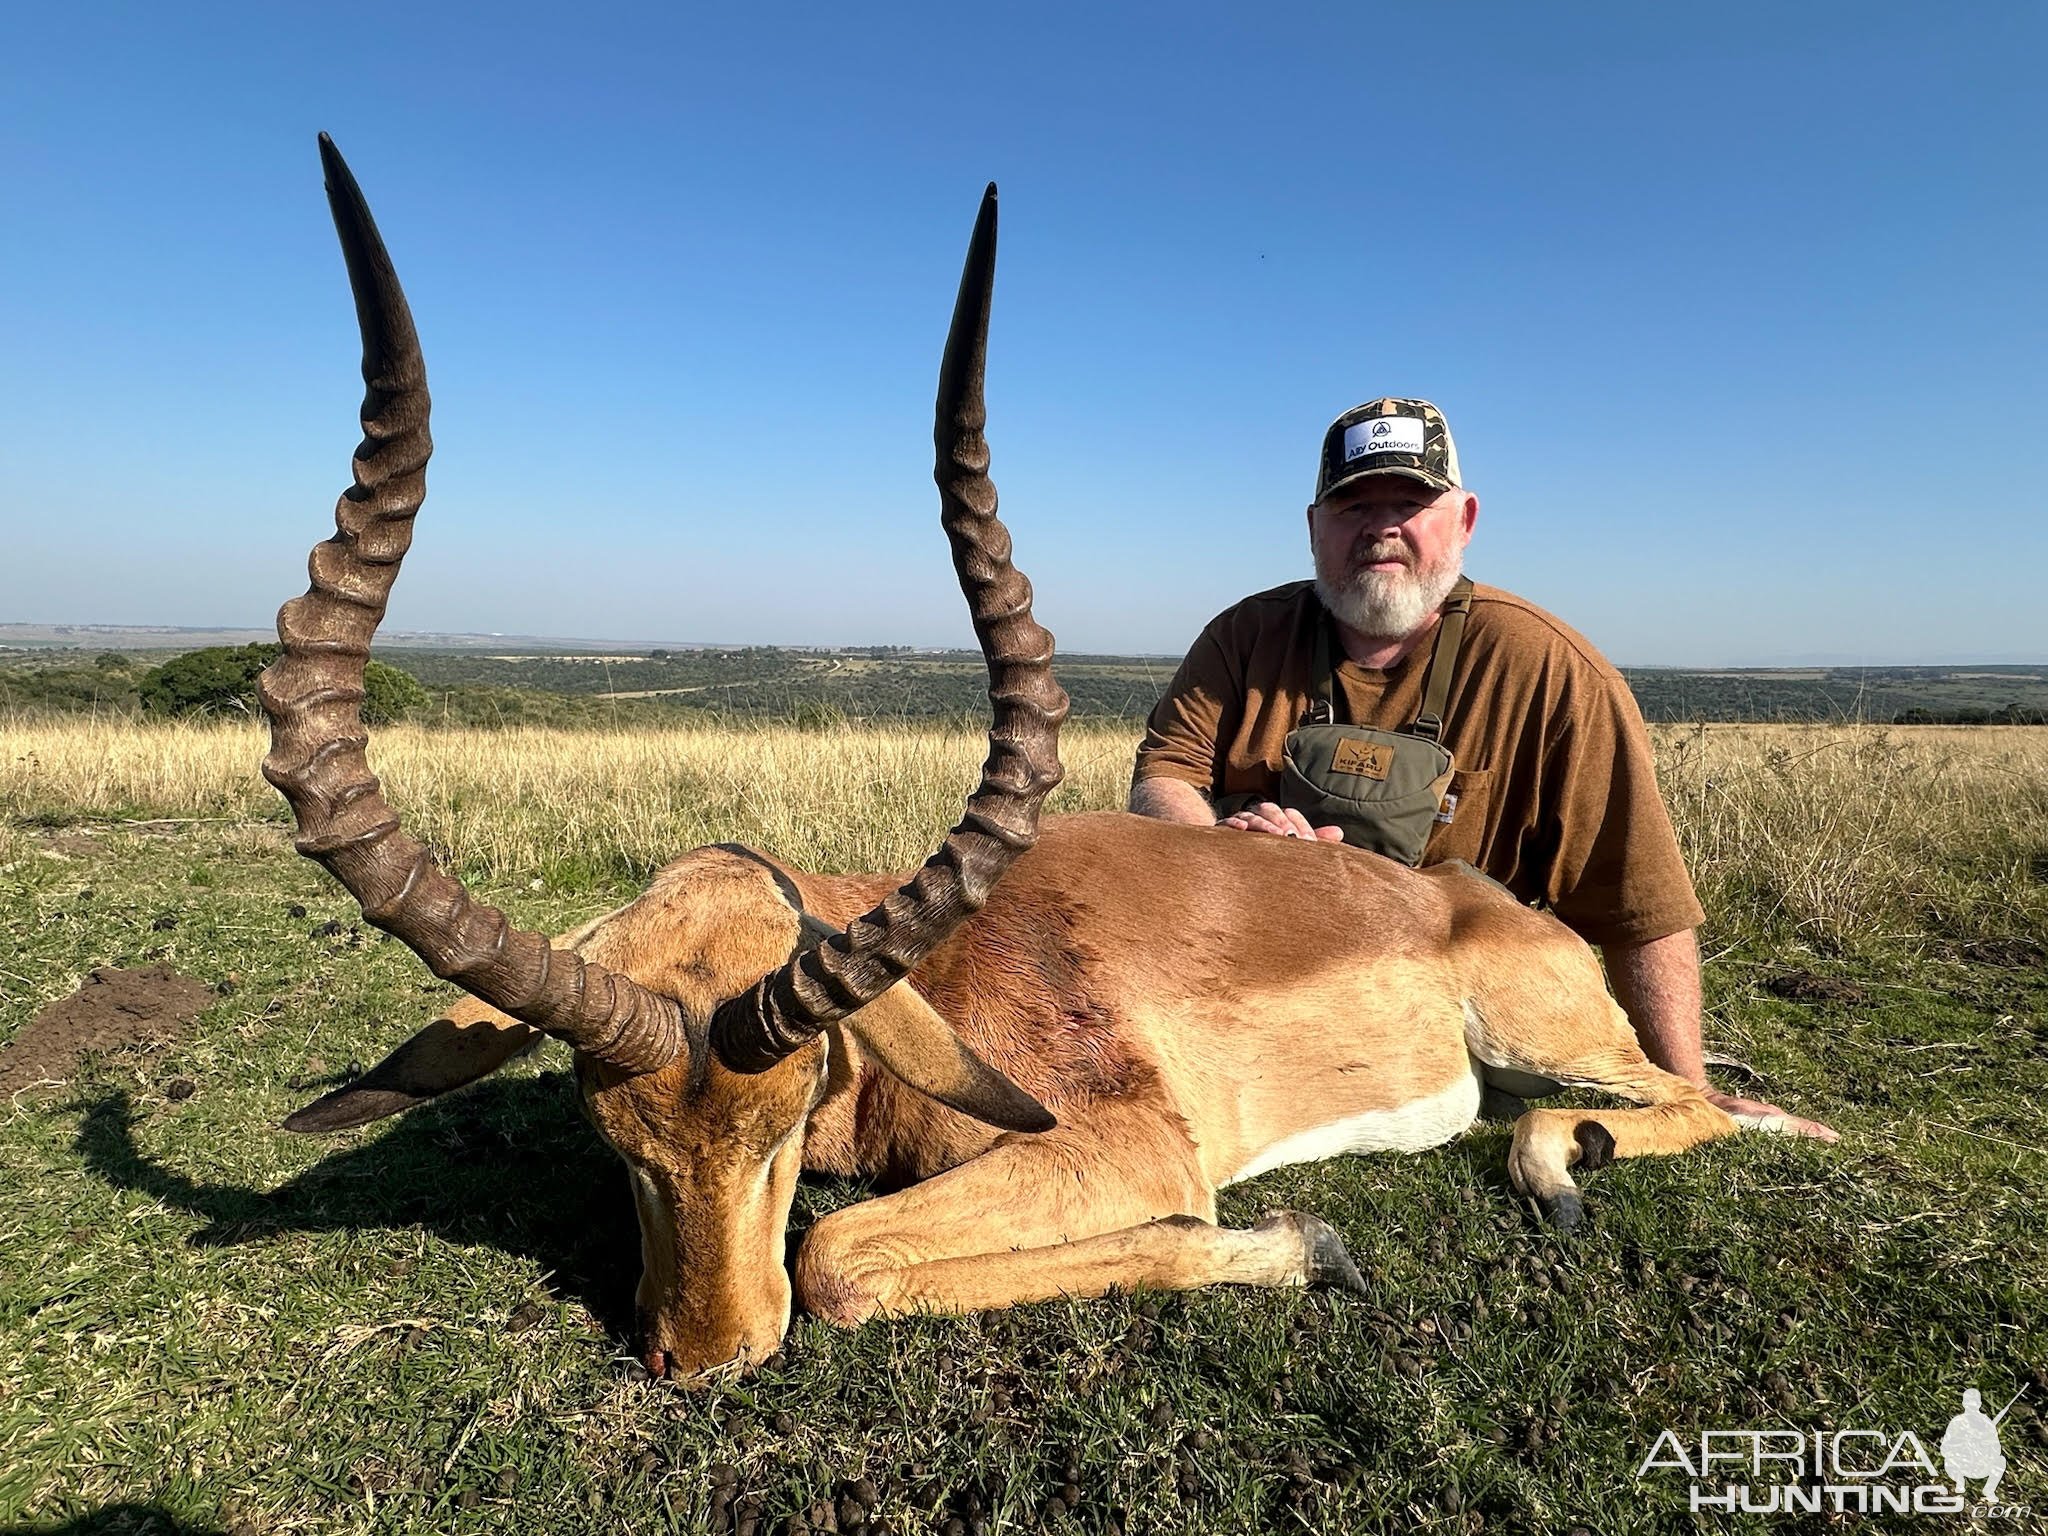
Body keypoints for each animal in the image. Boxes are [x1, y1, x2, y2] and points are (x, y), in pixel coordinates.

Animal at [262, 136, 1744, 1384]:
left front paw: (1297, 1248)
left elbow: (839, 1254)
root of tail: (1467, 907)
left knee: (1712, 1101)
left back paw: (1562, 1170)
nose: (709, 1358)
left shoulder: (1127, 1146)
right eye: (612, 1139)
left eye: (787, 1116)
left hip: (1557, 1045)